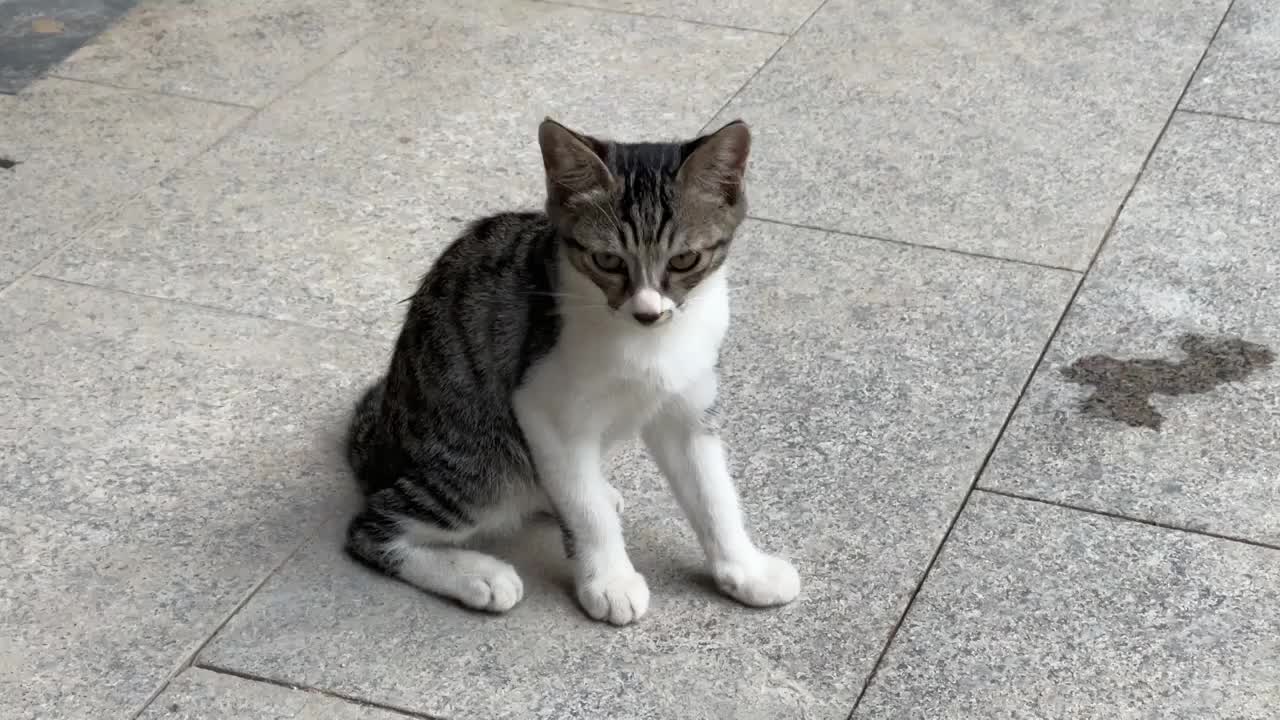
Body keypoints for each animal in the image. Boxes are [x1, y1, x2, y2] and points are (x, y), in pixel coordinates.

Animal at [343, 116, 798, 622]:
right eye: (607, 260)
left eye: (684, 259)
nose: (648, 312)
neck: (649, 344)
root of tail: (380, 441)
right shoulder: (541, 405)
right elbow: (585, 511)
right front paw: (611, 580)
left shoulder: (688, 405)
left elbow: (713, 493)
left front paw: (745, 569)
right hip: (482, 462)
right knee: (372, 526)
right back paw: (479, 575)